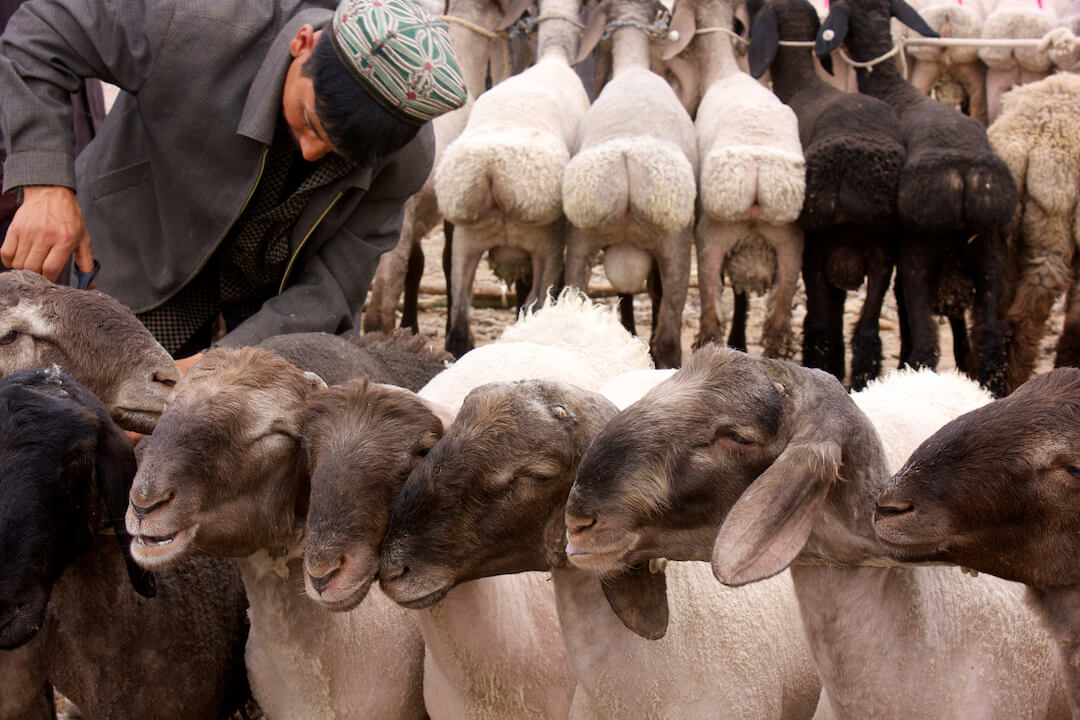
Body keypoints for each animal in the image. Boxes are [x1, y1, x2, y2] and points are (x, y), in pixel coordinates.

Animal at [816, 0, 1019, 397]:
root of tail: (963, 173)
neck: (893, 88)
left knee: (928, 344)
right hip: (988, 252)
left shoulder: (900, 250)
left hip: (921, 252)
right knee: (990, 337)